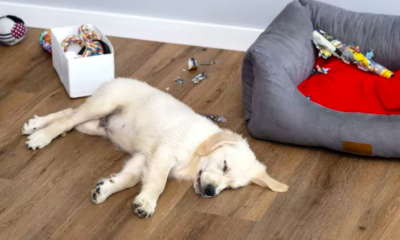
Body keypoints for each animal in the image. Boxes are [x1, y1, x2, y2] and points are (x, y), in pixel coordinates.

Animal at [21, 78, 288, 218]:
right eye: (224, 165)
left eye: (232, 188)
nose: (211, 192)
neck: (196, 153)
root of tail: (115, 79)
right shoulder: (164, 154)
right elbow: (158, 183)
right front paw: (148, 202)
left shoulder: (144, 157)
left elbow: (130, 178)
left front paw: (106, 189)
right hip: (103, 105)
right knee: (68, 118)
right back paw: (41, 135)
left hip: (94, 126)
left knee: (70, 115)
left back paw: (35, 124)